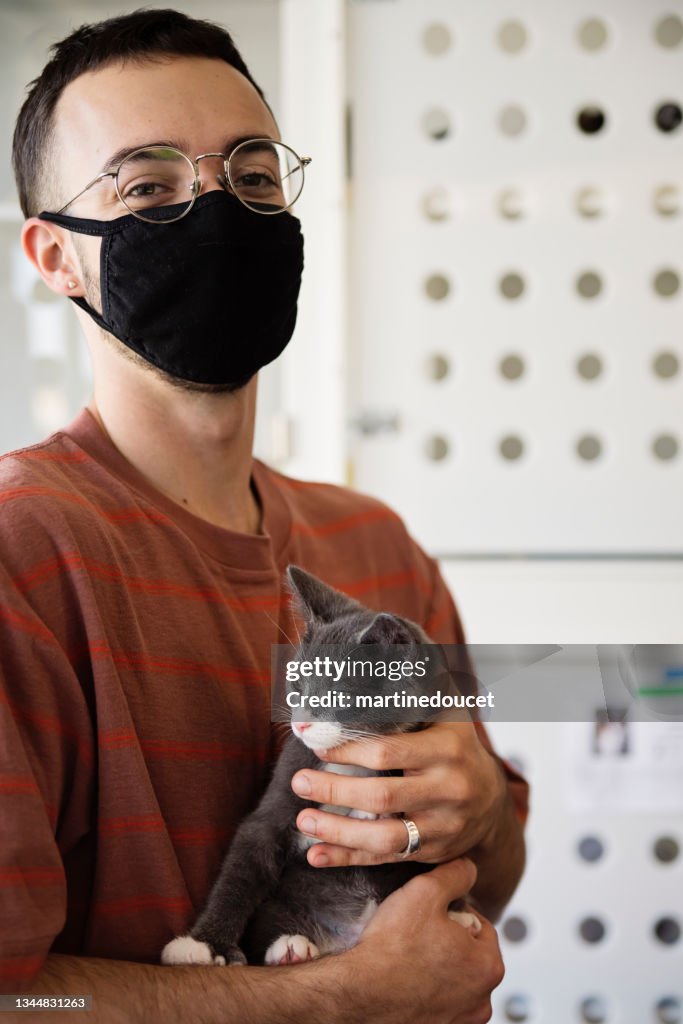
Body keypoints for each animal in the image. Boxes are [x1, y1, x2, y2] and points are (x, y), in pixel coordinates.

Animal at [162, 569, 479, 966]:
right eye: (297, 685)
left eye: (337, 695)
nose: (300, 724)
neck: (346, 758)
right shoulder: (290, 776)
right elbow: (244, 864)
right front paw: (204, 944)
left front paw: (368, 811)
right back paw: (289, 947)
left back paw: (459, 913)